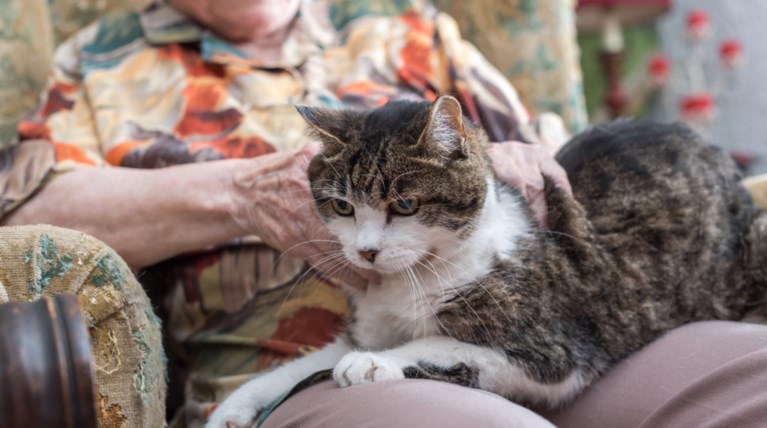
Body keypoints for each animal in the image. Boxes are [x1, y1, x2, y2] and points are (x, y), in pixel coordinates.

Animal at [204, 94, 767, 428]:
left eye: (403, 204)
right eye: (342, 206)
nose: (365, 251)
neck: (410, 280)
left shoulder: (552, 351)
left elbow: (440, 345)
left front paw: (371, 363)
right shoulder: (370, 322)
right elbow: (300, 367)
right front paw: (233, 407)